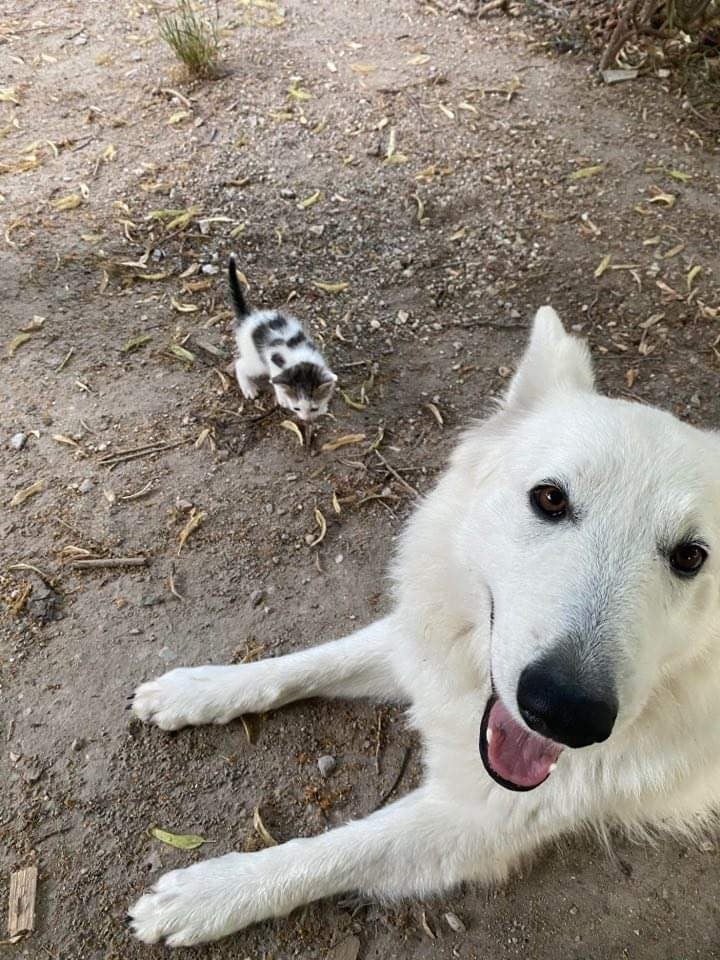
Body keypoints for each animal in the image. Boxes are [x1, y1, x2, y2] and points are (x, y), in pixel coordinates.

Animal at [128, 308, 720, 944]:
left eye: (690, 557)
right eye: (550, 499)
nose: (566, 711)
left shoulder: (474, 817)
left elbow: (332, 851)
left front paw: (209, 892)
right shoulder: (423, 647)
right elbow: (304, 664)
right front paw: (197, 689)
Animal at [228, 256, 338, 422]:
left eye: (314, 408)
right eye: (296, 408)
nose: (305, 419)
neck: (300, 359)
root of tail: (249, 318)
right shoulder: (274, 359)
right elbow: (275, 379)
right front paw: (282, 398)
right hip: (257, 361)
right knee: (240, 364)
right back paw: (248, 388)